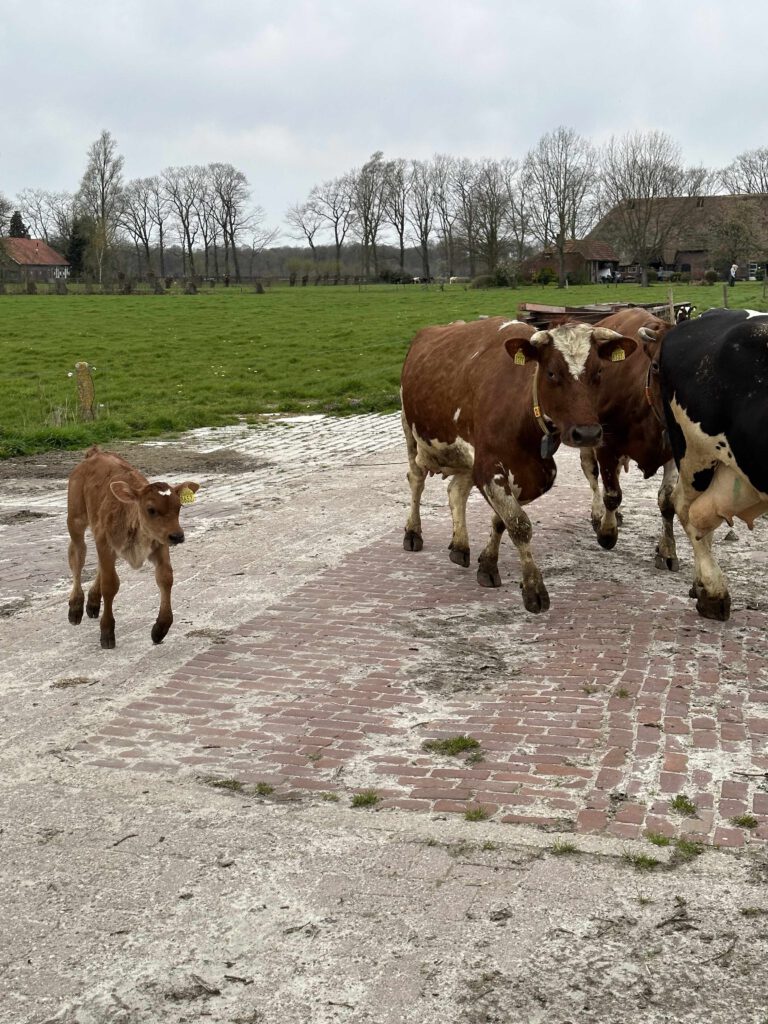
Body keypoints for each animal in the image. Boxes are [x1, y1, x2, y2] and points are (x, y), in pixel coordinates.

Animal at [66, 446, 199, 647]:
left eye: (179, 507)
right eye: (151, 509)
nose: (177, 536)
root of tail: (96, 453)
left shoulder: (159, 543)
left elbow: (166, 578)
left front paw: (160, 628)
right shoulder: (105, 543)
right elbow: (110, 584)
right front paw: (107, 632)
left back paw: (93, 602)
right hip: (75, 519)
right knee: (77, 556)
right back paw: (75, 606)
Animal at [403, 315, 638, 610]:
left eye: (598, 373)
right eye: (551, 373)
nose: (587, 434)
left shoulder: (533, 474)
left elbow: (502, 520)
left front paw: (487, 563)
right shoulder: (488, 466)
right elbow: (518, 524)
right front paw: (534, 589)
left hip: (466, 458)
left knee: (456, 491)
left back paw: (460, 545)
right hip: (411, 433)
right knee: (416, 481)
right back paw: (413, 532)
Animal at [577, 307, 679, 573]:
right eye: (656, 366)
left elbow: (667, 501)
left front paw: (667, 550)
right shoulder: (606, 444)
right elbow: (612, 494)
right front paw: (607, 532)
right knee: (592, 474)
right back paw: (598, 515)